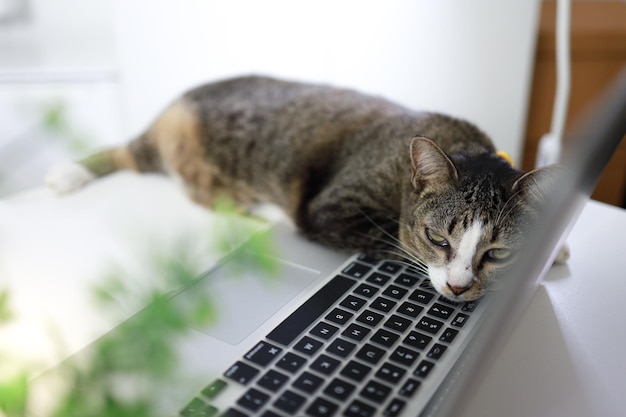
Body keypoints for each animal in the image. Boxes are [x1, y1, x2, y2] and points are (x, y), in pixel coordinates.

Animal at [47, 75, 564, 300]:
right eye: (438, 239)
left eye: (497, 253)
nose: (459, 289)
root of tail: (177, 101)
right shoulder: (332, 208)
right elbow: (390, 239)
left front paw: (554, 249)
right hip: (165, 146)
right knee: (127, 153)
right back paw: (67, 174)